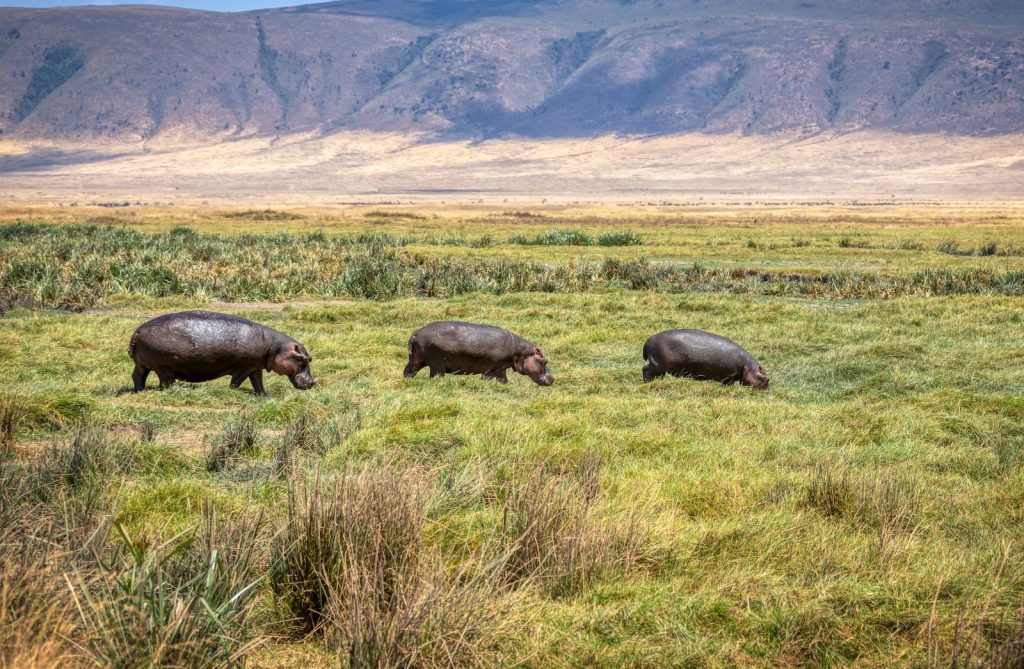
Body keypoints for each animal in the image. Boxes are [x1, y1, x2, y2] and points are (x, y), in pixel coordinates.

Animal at [128, 311, 313, 393]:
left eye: (310, 358)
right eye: (302, 359)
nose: (313, 382)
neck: (275, 347)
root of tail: (138, 330)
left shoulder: (255, 367)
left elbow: (258, 382)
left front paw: (264, 395)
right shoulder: (244, 367)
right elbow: (236, 381)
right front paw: (233, 391)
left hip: (142, 364)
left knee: (138, 376)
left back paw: (140, 391)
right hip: (164, 367)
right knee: (165, 382)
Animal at [403, 319, 557, 383]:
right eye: (545, 361)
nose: (552, 378)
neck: (521, 352)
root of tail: (416, 333)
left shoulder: (501, 368)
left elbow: (504, 380)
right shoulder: (493, 368)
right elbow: (486, 377)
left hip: (416, 360)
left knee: (408, 371)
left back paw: (407, 381)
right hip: (436, 363)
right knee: (435, 375)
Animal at [638, 327, 770, 389]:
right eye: (766, 379)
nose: (768, 389)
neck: (747, 366)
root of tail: (648, 339)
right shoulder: (730, 374)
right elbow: (728, 383)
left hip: (660, 366)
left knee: (656, 374)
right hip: (656, 364)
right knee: (645, 369)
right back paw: (647, 382)